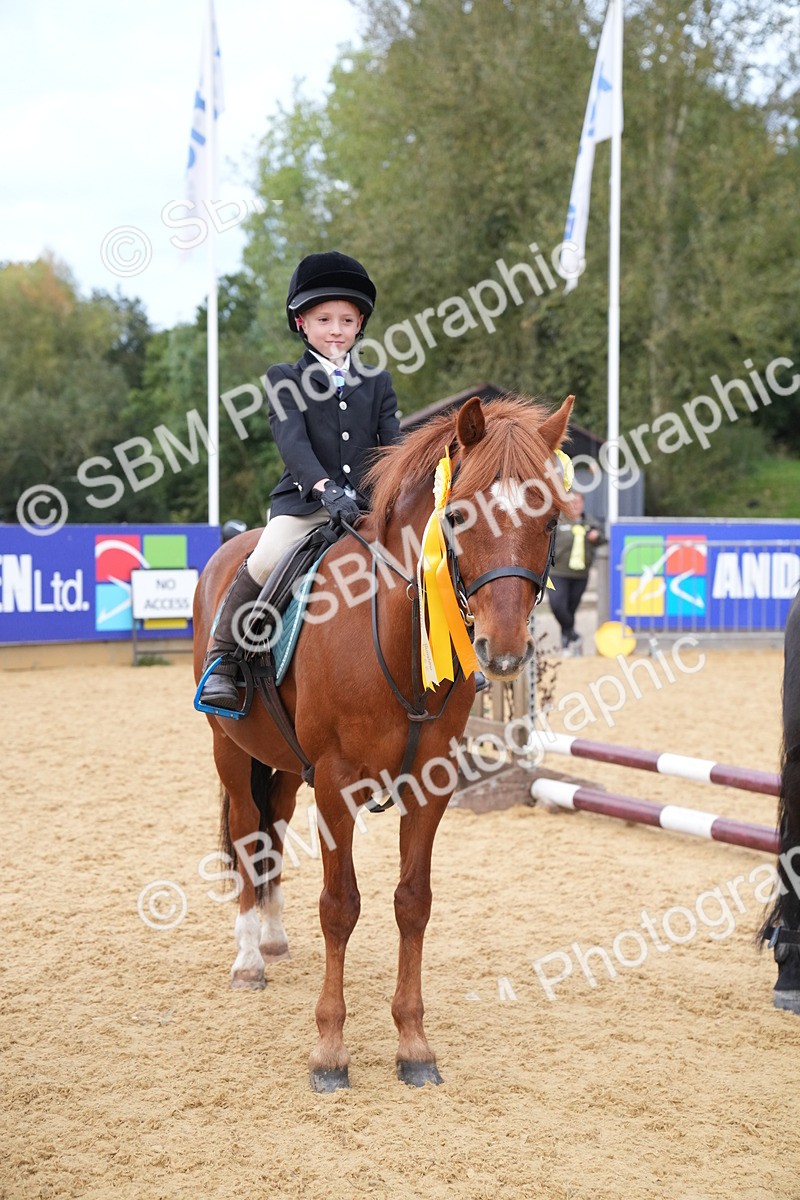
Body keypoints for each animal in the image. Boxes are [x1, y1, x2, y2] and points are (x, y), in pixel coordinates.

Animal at [193, 392, 574, 1090]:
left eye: (551, 517)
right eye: (457, 514)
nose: (504, 651)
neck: (394, 631)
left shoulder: (431, 782)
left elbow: (412, 903)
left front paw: (414, 1043)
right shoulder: (337, 782)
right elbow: (340, 906)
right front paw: (330, 1050)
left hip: (283, 764)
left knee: (272, 825)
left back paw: (273, 938)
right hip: (230, 749)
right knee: (245, 830)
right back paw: (248, 960)